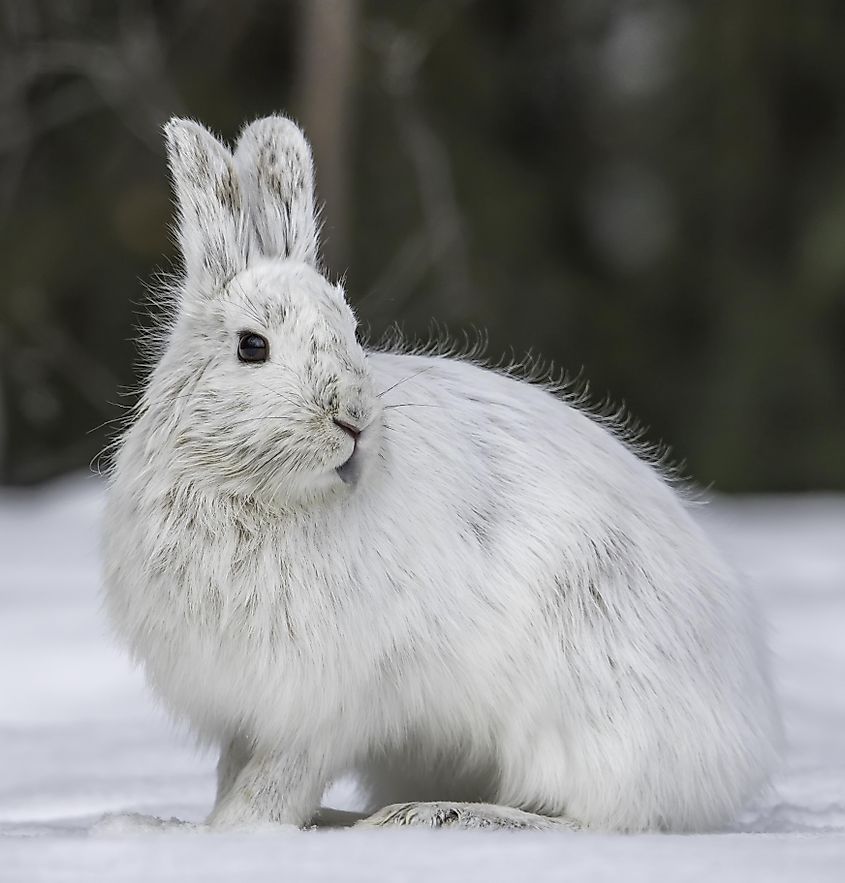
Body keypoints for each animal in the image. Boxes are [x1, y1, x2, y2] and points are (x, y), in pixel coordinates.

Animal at [102, 114, 781, 833]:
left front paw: (235, 828)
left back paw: (427, 816)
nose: (354, 418)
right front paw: (207, 827)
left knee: (594, 817)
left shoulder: (326, 702)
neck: (261, 496)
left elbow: (277, 777)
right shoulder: (242, 707)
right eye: (250, 346)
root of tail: (740, 748)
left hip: (590, 701)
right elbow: (235, 768)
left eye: (351, 328)